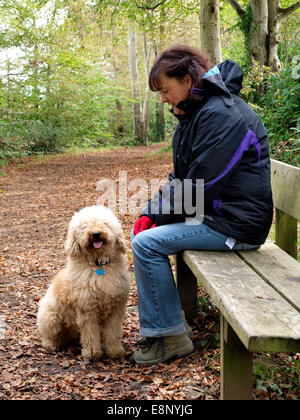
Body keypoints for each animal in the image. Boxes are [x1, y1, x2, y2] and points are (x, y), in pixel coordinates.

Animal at [35, 205, 129, 360]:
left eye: (105, 223)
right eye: (84, 226)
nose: (96, 234)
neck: (98, 266)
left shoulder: (116, 308)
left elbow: (113, 332)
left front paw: (114, 351)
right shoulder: (87, 309)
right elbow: (90, 334)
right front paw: (92, 353)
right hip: (50, 317)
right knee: (48, 336)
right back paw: (52, 345)